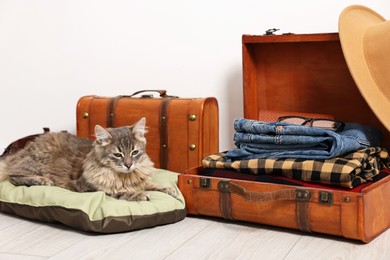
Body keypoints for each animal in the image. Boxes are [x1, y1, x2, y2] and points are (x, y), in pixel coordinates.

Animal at [0, 118, 177, 201]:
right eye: (117, 155)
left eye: (134, 152)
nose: (128, 165)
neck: (123, 176)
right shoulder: (89, 188)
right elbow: (119, 191)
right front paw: (138, 195)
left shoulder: (140, 179)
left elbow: (151, 184)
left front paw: (169, 189)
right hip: (37, 161)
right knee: (13, 175)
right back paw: (42, 181)